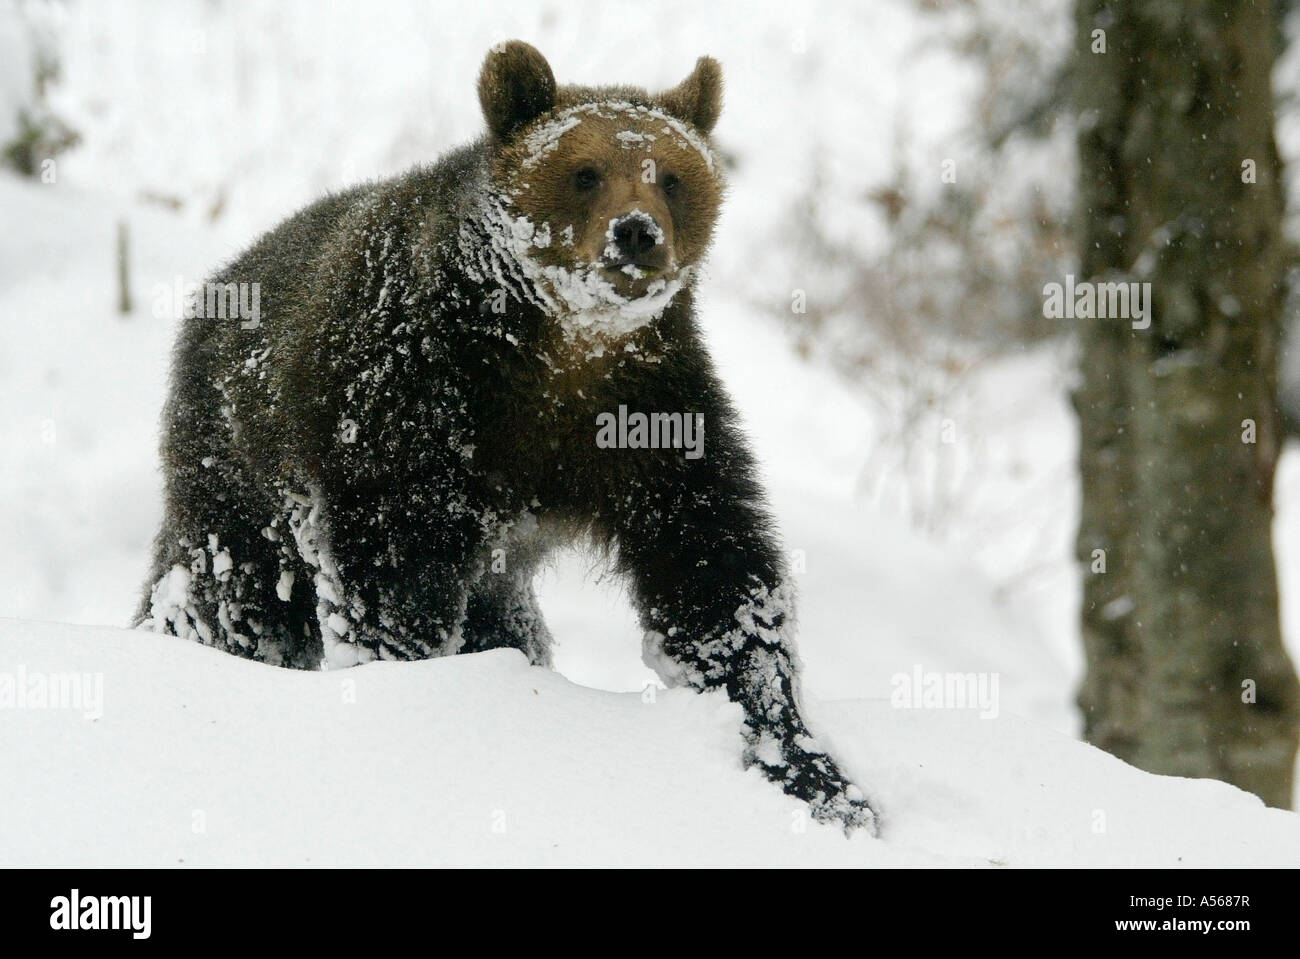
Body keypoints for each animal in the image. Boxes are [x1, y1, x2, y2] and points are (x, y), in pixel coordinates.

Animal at [137, 39, 878, 831]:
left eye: (673, 177)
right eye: (585, 172)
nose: (636, 232)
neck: (555, 354)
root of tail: (218, 286)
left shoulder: (651, 423)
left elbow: (716, 577)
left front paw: (811, 769)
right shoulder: (409, 404)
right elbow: (395, 574)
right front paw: (406, 684)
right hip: (241, 471)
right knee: (227, 594)